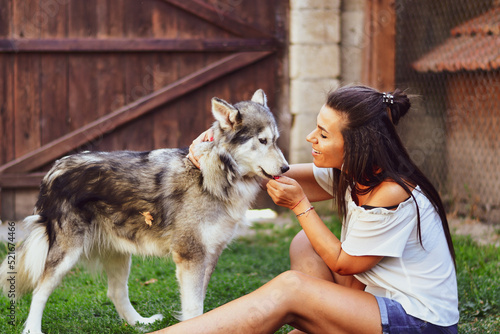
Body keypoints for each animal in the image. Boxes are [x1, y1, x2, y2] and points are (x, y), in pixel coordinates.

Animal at [0, 89, 290, 334]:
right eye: (262, 141)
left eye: (275, 141)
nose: (287, 168)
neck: (214, 174)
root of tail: (53, 169)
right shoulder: (191, 255)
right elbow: (194, 308)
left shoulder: (209, 256)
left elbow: (198, 305)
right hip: (67, 254)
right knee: (40, 289)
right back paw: (32, 330)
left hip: (118, 253)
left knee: (115, 293)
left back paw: (141, 323)